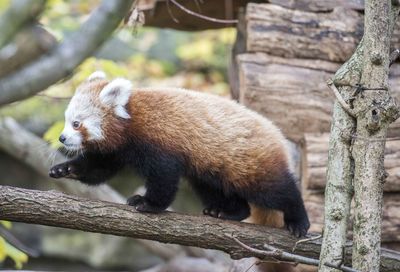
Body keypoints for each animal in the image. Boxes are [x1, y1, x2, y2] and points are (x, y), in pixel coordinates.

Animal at [50, 70, 310, 242]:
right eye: (66, 121)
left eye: (76, 124)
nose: (62, 138)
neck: (131, 122)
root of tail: (277, 135)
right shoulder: (117, 149)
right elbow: (98, 169)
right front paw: (65, 169)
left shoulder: (159, 141)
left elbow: (164, 178)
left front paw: (148, 203)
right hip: (211, 169)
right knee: (213, 188)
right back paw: (228, 211)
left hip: (250, 161)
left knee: (276, 190)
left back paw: (298, 220)